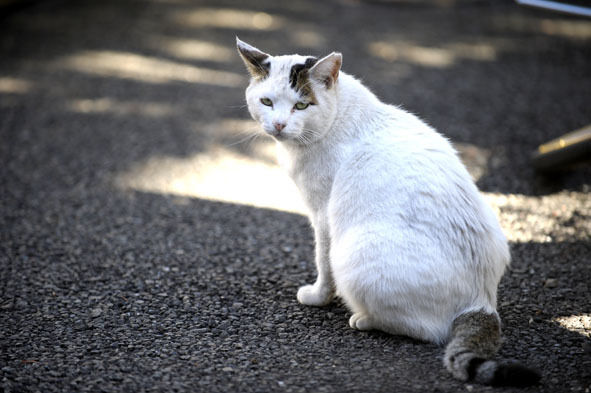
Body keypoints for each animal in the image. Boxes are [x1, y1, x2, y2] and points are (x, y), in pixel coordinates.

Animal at [237, 38, 540, 388]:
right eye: (267, 101)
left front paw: (317, 296)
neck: (338, 117)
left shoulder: (323, 216)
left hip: (354, 255)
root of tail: (483, 301)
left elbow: (322, 263)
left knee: (426, 330)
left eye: (301, 105)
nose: (279, 124)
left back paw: (364, 319)